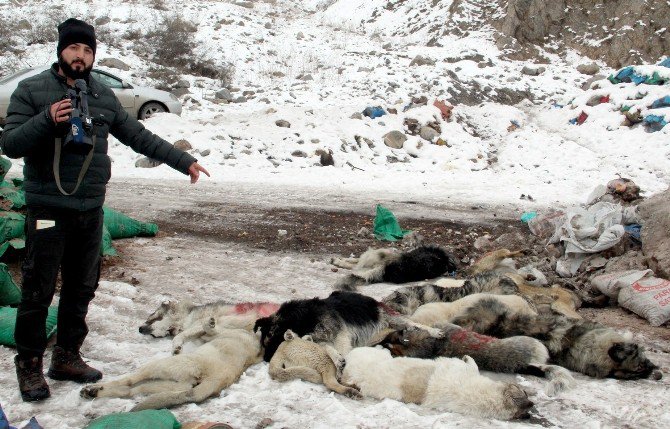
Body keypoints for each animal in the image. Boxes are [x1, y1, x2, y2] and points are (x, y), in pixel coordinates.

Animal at [80, 326, 262, 410]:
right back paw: (93, 392)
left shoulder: (216, 332)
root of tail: (215, 381)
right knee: (131, 391)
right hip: (168, 385)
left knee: (129, 381)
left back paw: (93, 389)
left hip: (159, 366)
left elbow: (198, 330)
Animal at [255, 290, 444, 362]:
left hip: (392, 319)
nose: (266, 360)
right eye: (264, 343)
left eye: (273, 338)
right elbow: (326, 347)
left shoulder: (338, 333)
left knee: (414, 324)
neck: (305, 318)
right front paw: (337, 358)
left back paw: (435, 332)